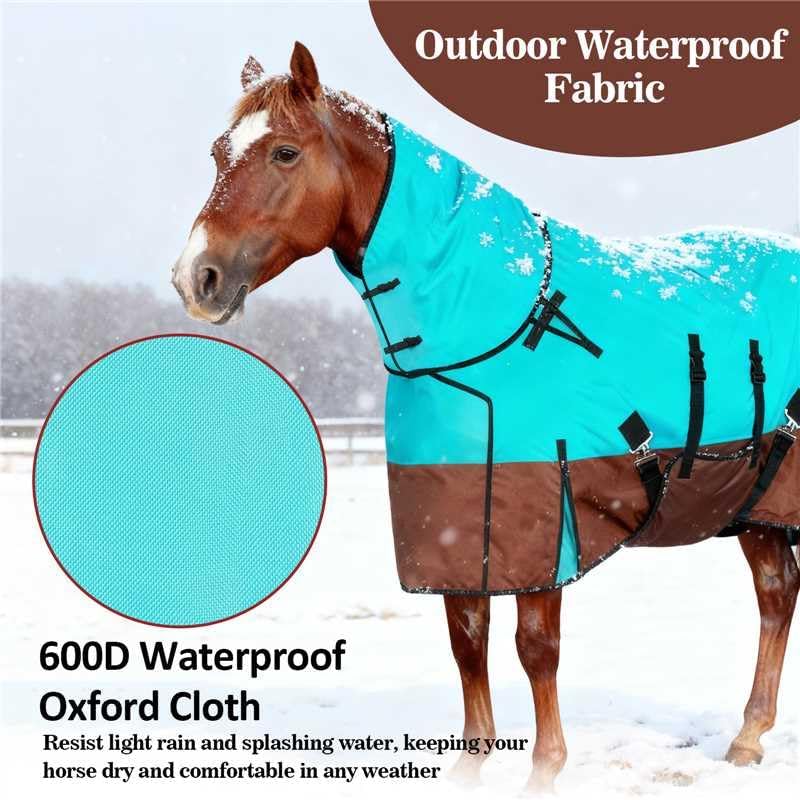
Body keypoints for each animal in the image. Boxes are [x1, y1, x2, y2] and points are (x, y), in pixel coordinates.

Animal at [172, 43, 800, 792]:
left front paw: (545, 772)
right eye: (216, 152)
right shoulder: (452, 511)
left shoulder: (545, 515)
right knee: (777, 592)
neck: (495, 326)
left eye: (285, 153)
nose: (194, 279)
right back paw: (748, 739)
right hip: (756, 505)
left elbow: (535, 647)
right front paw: (471, 768)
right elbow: (467, 641)